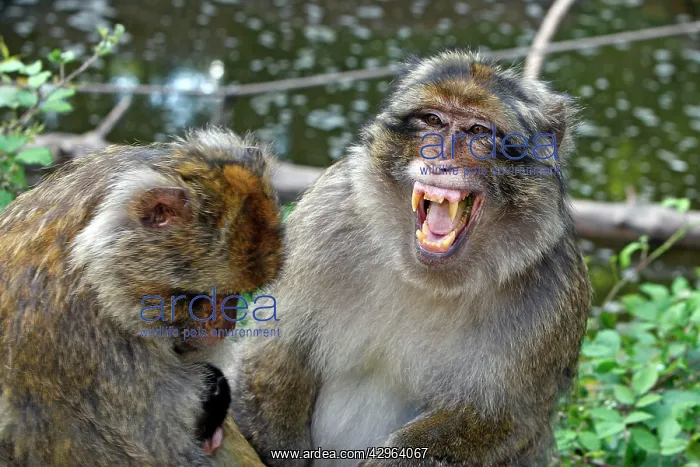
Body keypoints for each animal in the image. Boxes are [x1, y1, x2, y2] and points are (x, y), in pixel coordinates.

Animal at [227, 50, 592, 466]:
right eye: (432, 120)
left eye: (478, 131)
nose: (439, 157)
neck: (424, 278)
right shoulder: (325, 217)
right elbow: (276, 353)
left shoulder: (552, 291)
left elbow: (501, 420)